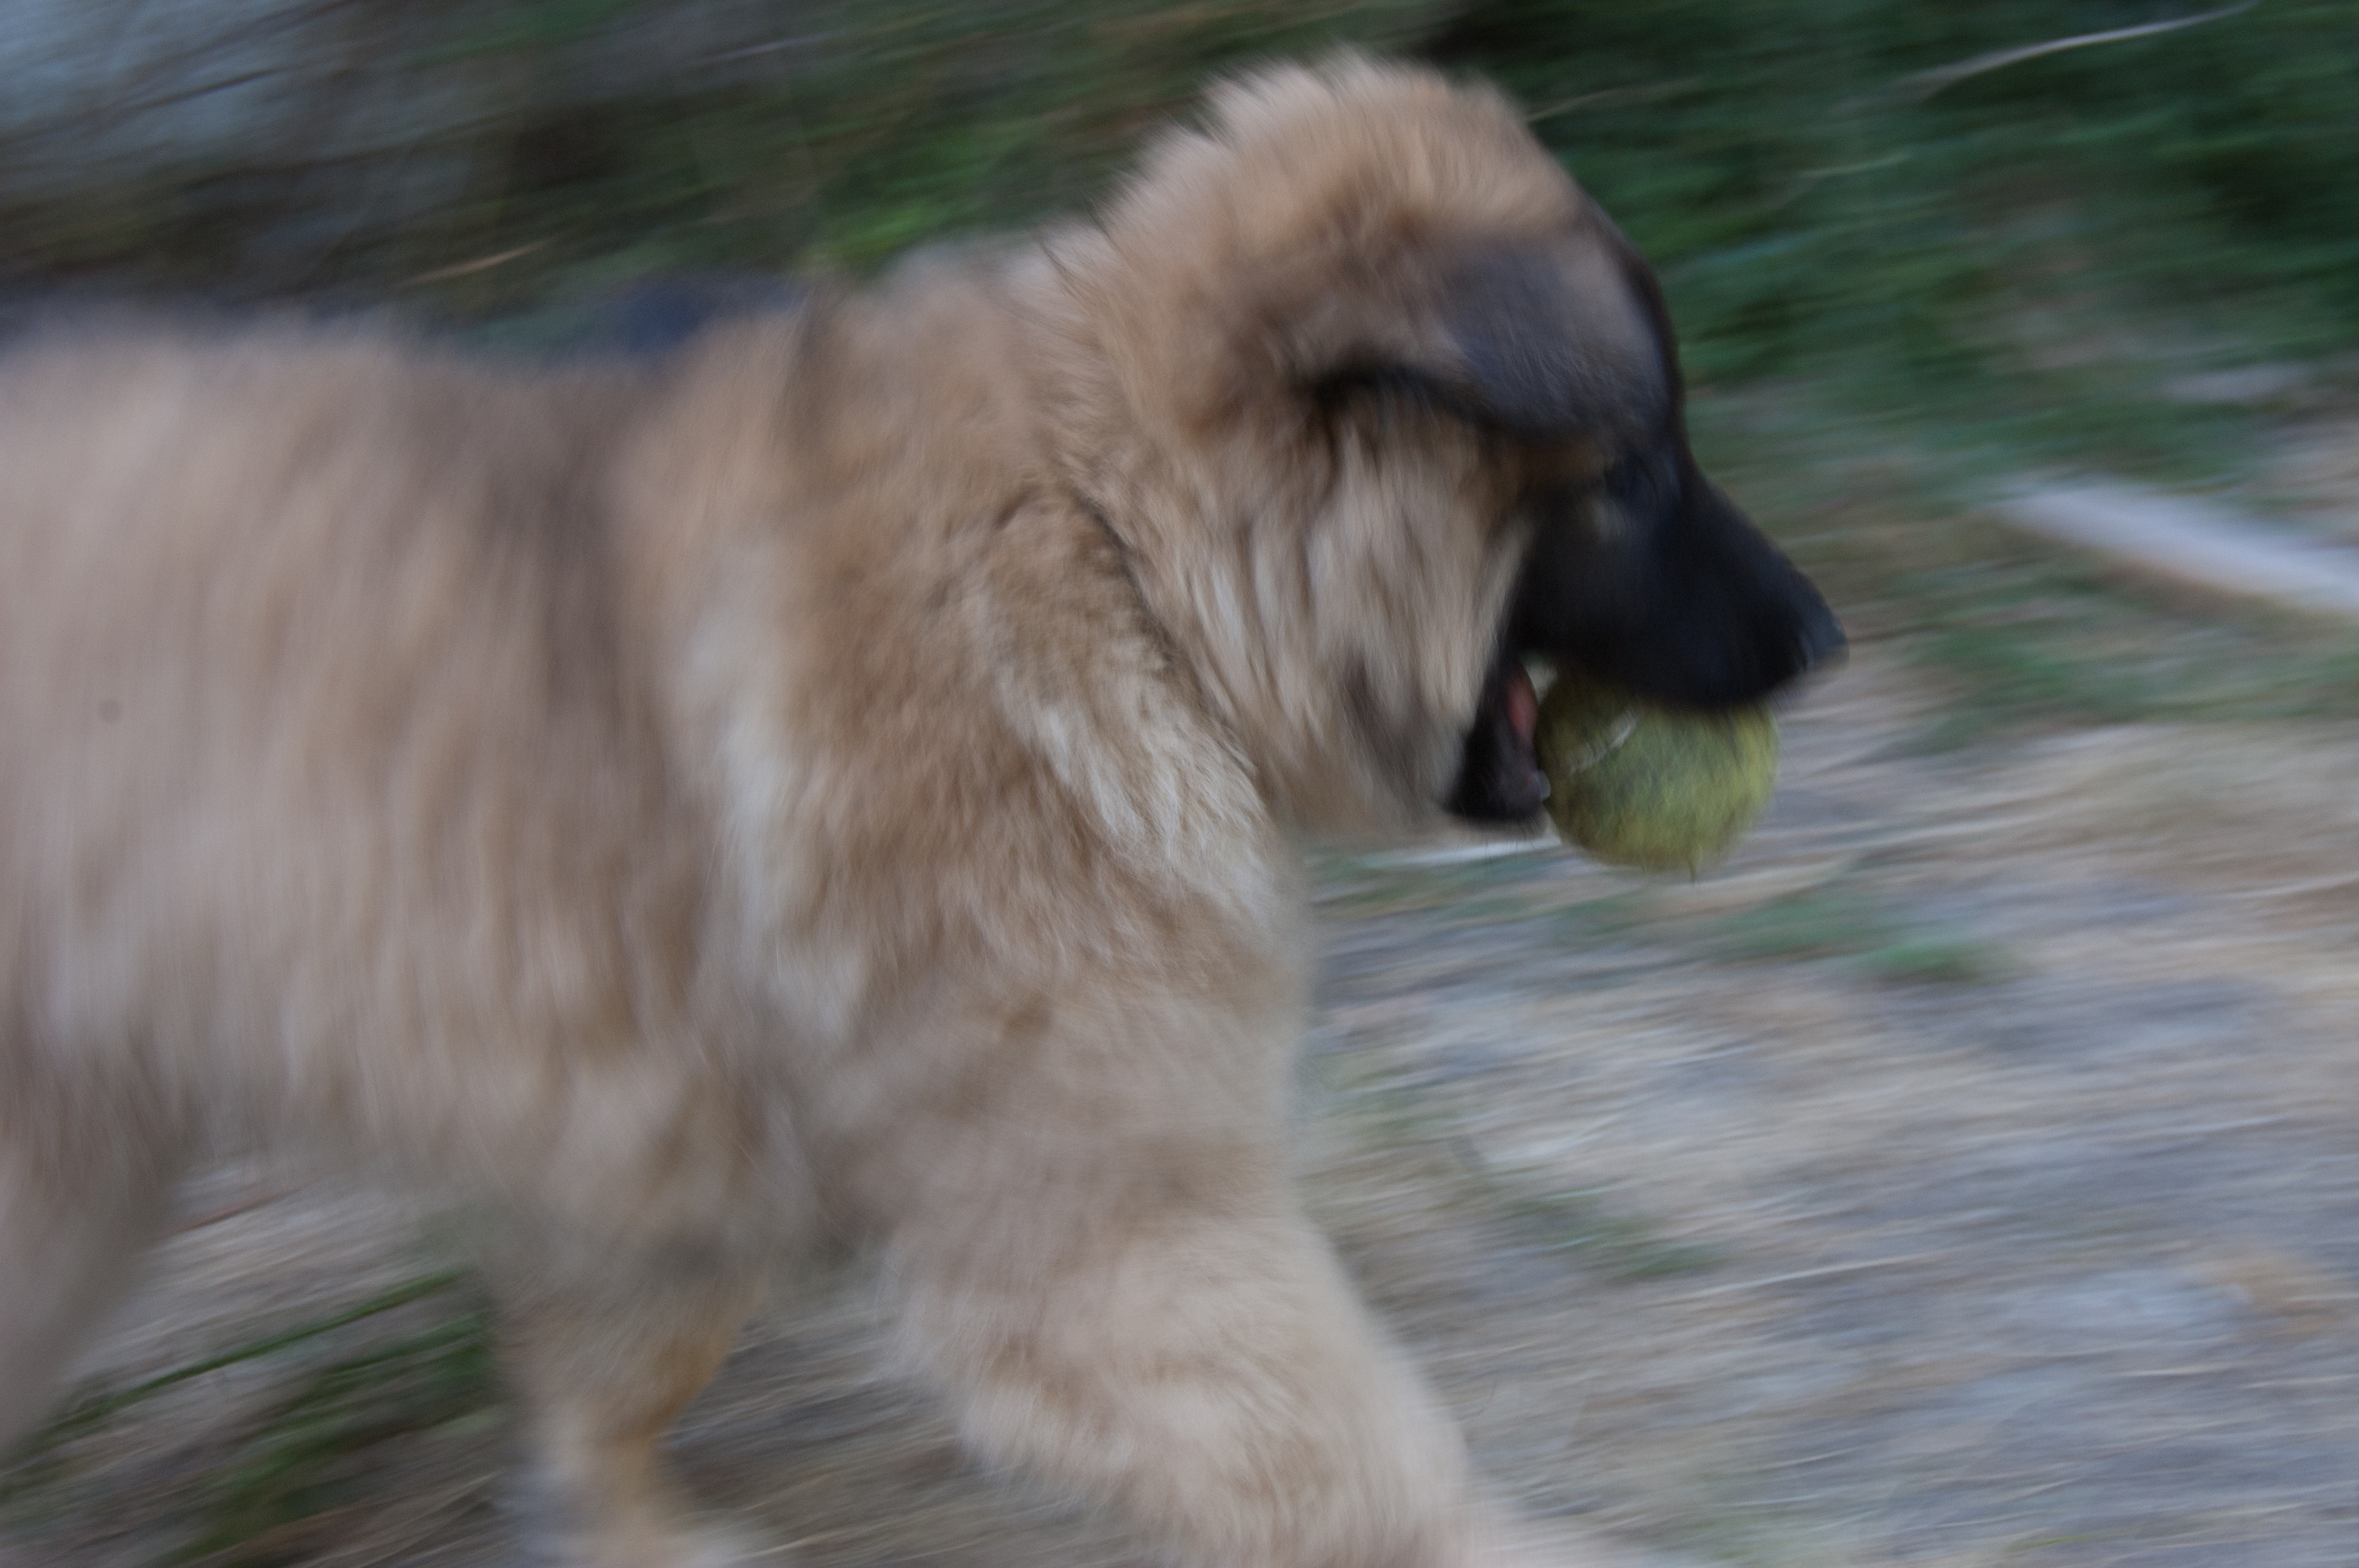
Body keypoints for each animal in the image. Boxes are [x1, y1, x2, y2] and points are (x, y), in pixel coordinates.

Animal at [0, 56, 1840, 1568]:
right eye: (1636, 476)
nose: (1823, 638)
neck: (1113, 544)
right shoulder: (1100, 1229)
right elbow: (1356, 1464)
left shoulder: (648, 1162)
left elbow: (605, 1383)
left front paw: (627, 1531)